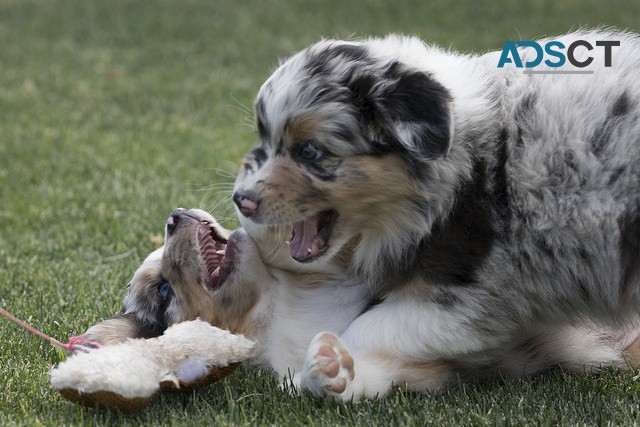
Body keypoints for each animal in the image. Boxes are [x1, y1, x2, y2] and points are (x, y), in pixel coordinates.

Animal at [231, 30, 640, 402]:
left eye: (310, 151)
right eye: (264, 141)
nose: (241, 201)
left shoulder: (468, 292)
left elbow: (373, 325)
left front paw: (324, 365)